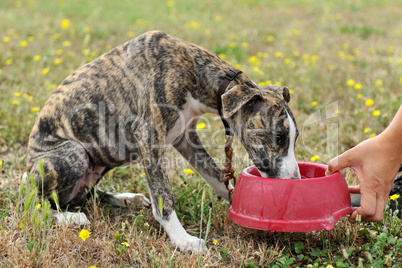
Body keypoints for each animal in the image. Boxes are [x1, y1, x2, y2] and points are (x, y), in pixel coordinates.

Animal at [26, 31, 300, 253]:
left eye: (295, 138)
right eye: (279, 137)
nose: (295, 181)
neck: (192, 69)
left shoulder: (186, 137)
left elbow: (215, 175)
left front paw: (238, 204)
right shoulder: (149, 135)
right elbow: (164, 196)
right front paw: (183, 240)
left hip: (101, 159)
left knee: (86, 193)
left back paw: (126, 199)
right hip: (75, 154)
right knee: (36, 204)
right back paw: (68, 219)